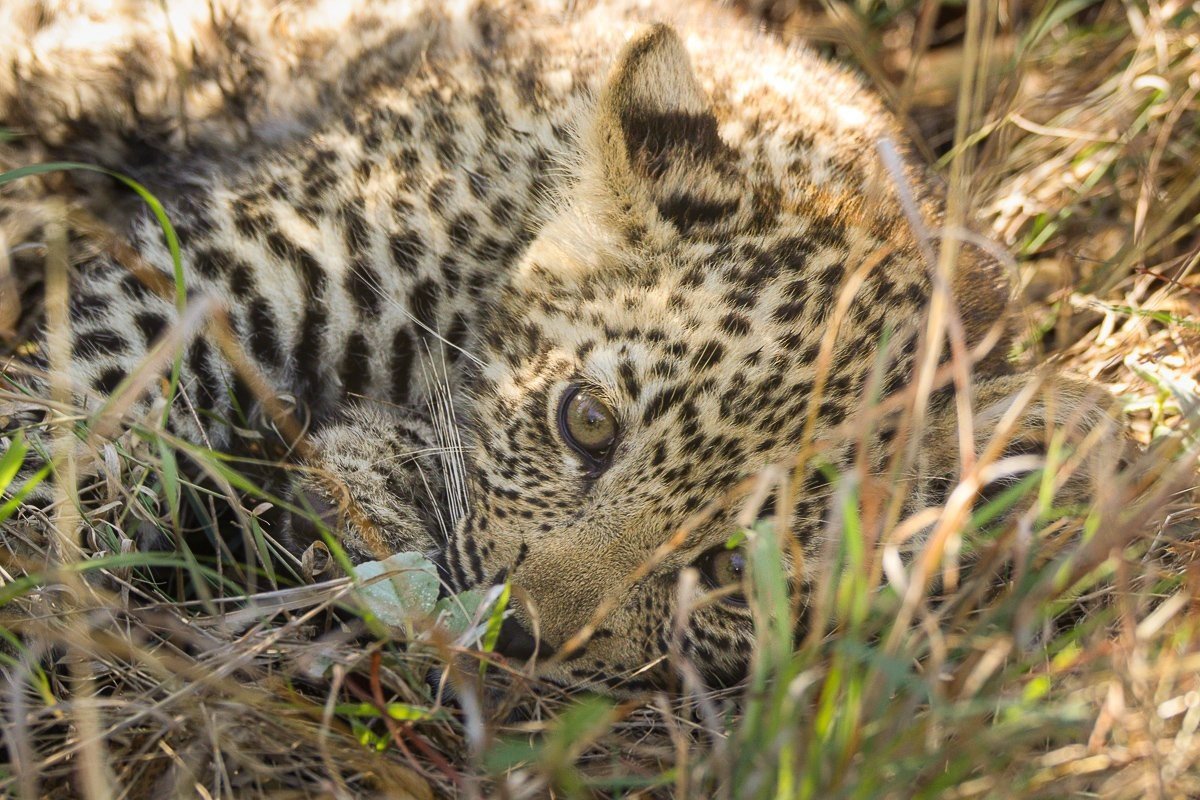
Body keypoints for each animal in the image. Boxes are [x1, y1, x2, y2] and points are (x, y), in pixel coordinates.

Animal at [0, 0, 1123, 694]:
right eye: (586, 422)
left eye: (728, 570)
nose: (526, 633)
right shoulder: (248, 261)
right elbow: (81, 403)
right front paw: (38, 566)